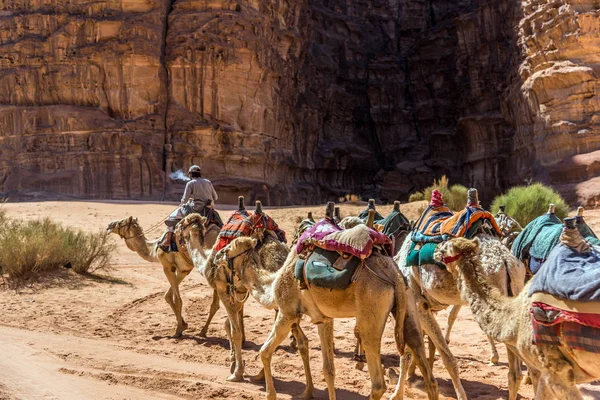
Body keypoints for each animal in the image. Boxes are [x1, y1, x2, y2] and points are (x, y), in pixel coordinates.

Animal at [251, 203, 438, 400]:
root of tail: (394, 274)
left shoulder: (287, 313)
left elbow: (264, 351)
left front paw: (270, 394)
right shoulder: (323, 319)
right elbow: (328, 369)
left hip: (371, 308)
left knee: (378, 383)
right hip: (409, 302)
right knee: (427, 372)